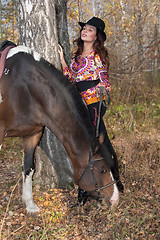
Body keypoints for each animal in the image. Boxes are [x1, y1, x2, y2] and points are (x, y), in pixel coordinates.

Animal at [0, 42, 119, 213]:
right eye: (102, 170)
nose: (116, 200)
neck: (24, 89)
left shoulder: (33, 134)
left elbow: (28, 167)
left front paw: (30, 204)